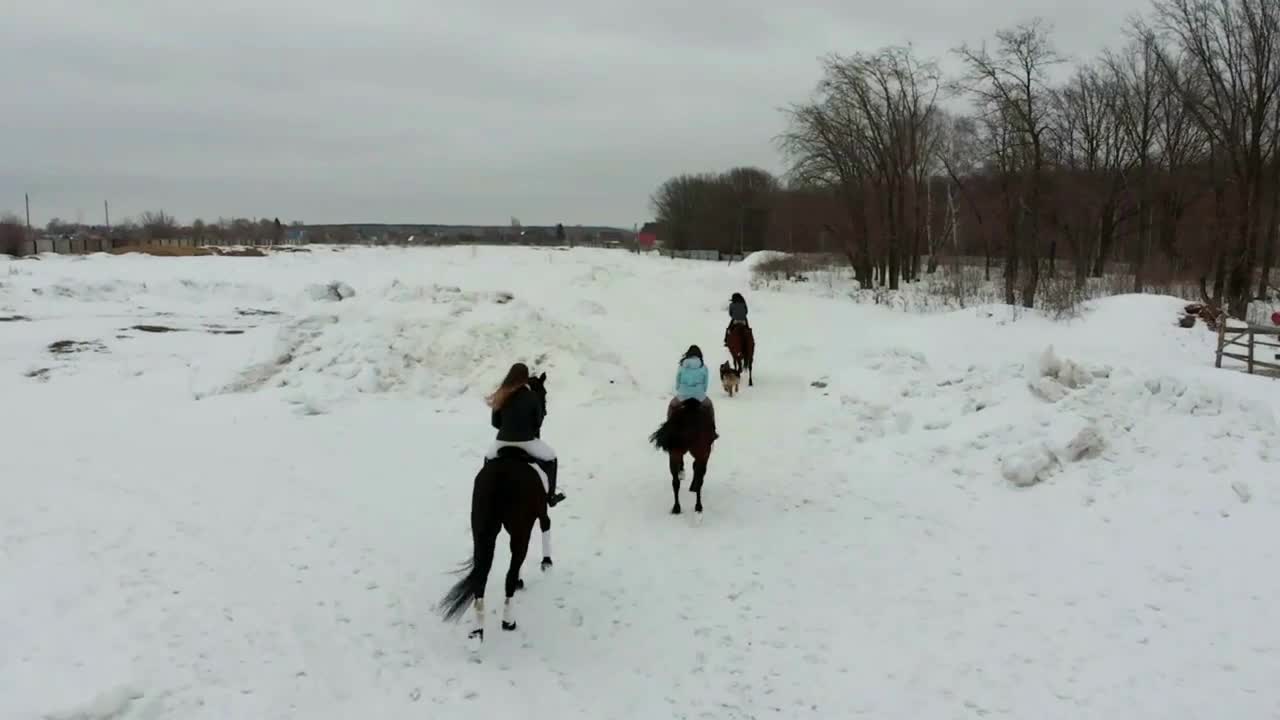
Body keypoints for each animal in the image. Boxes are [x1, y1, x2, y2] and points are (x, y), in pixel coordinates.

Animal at [440, 368, 555, 638]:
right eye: (543, 394)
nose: (546, 412)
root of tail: (500, 481)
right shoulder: (541, 512)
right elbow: (546, 526)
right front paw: (547, 562)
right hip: (519, 530)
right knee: (508, 577)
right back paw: (508, 621)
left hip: (483, 532)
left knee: (481, 579)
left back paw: (478, 631)